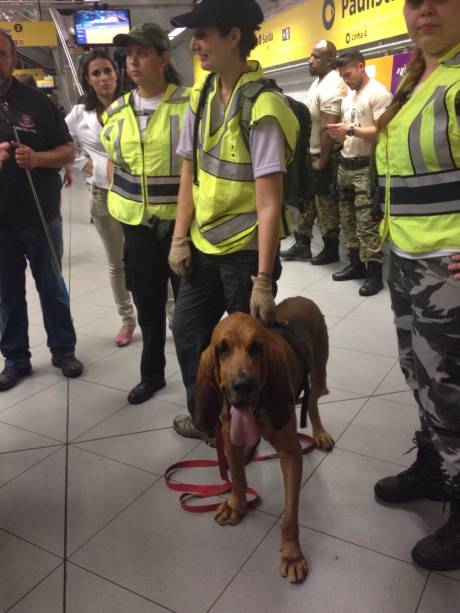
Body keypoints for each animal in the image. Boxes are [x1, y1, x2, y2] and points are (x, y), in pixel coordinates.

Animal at [195, 296, 334, 584]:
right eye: (222, 349)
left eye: (256, 347)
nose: (243, 385)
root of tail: (303, 298)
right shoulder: (230, 440)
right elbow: (238, 478)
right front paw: (237, 505)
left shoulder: (291, 455)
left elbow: (290, 515)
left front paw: (292, 556)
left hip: (319, 373)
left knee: (313, 400)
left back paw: (319, 433)